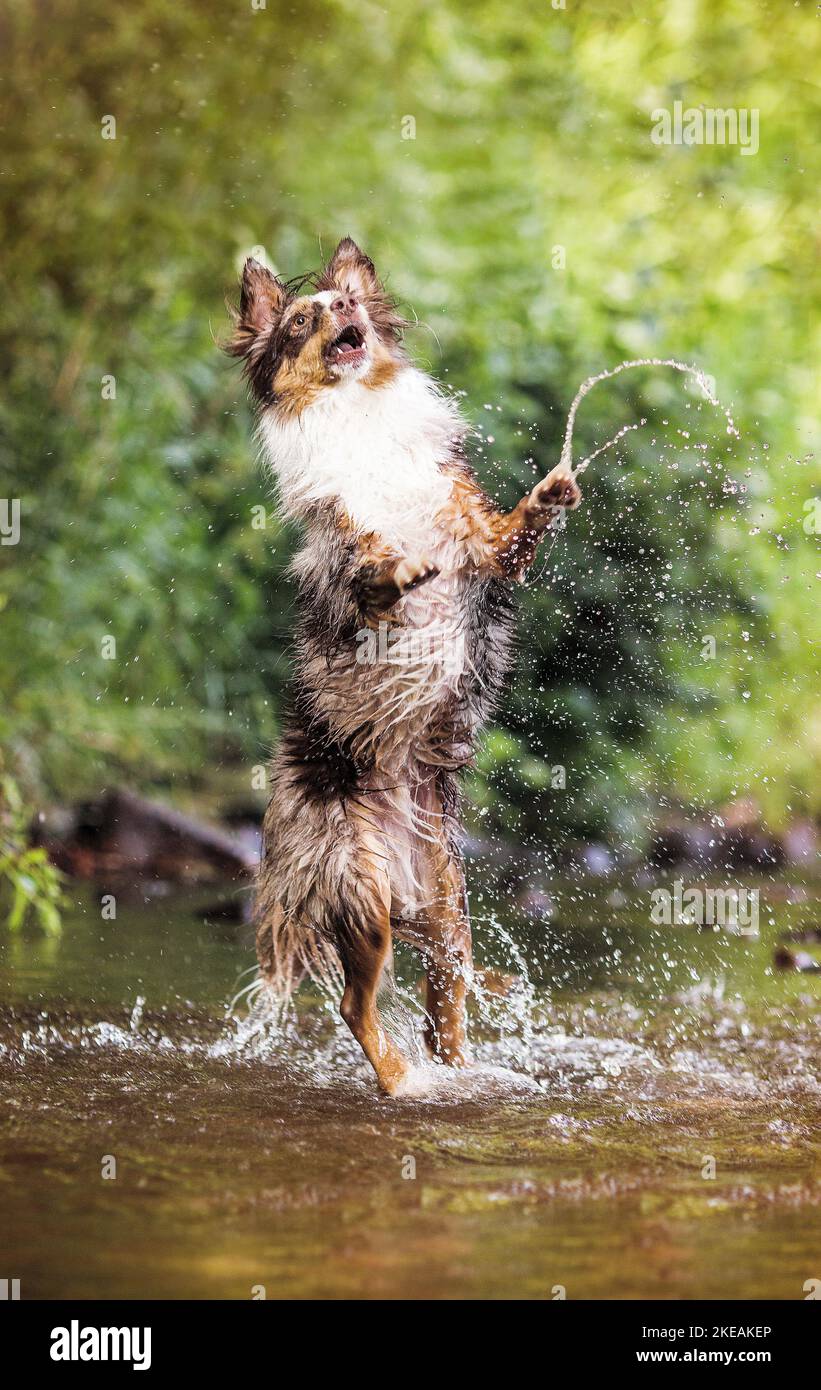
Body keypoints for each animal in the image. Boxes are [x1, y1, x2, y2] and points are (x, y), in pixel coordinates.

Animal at [227, 241, 580, 1095]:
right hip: (358, 887)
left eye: (344, 304)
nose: (344, 311)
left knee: (441, 1008)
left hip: (447, 912)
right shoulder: (344, 535)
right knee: (355, 1007)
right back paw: (400, 1081)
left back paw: (459, 1074)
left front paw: (550, 493)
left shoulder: (478, 537)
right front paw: (399, 566)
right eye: (301, 320)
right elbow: (371, 566)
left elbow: (508, 533)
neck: (360, 420)